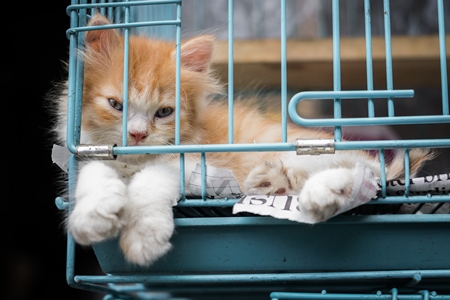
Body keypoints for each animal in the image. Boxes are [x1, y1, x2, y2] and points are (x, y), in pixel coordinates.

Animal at [51, 14, 434, 268]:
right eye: (116, 105)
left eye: (164, 112)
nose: (137, 134)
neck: (134, 160)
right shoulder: (89, 154)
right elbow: (94, 174)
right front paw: (93, 216)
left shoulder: (195, 166)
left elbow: (150, 181)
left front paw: (143, 238)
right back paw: (274, 183)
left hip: (303, 150)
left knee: (360, 169)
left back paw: (320, 191)